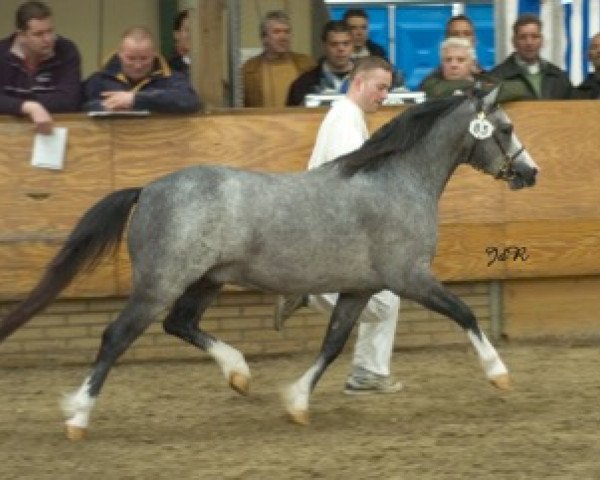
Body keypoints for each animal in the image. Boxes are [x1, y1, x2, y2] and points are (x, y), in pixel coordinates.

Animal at [0, 88, 540, 436]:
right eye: (506, 128)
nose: (531, 173)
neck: (396, 181)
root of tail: (148, 189)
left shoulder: (360, 288)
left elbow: (333, 344)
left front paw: (297, 403)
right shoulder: (410, 277)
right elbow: (465, 313)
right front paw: (500, 375)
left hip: (206, 280)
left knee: (180, 324)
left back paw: (238, 373)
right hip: (159, 284)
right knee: (116, 336)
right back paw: (77, 416)